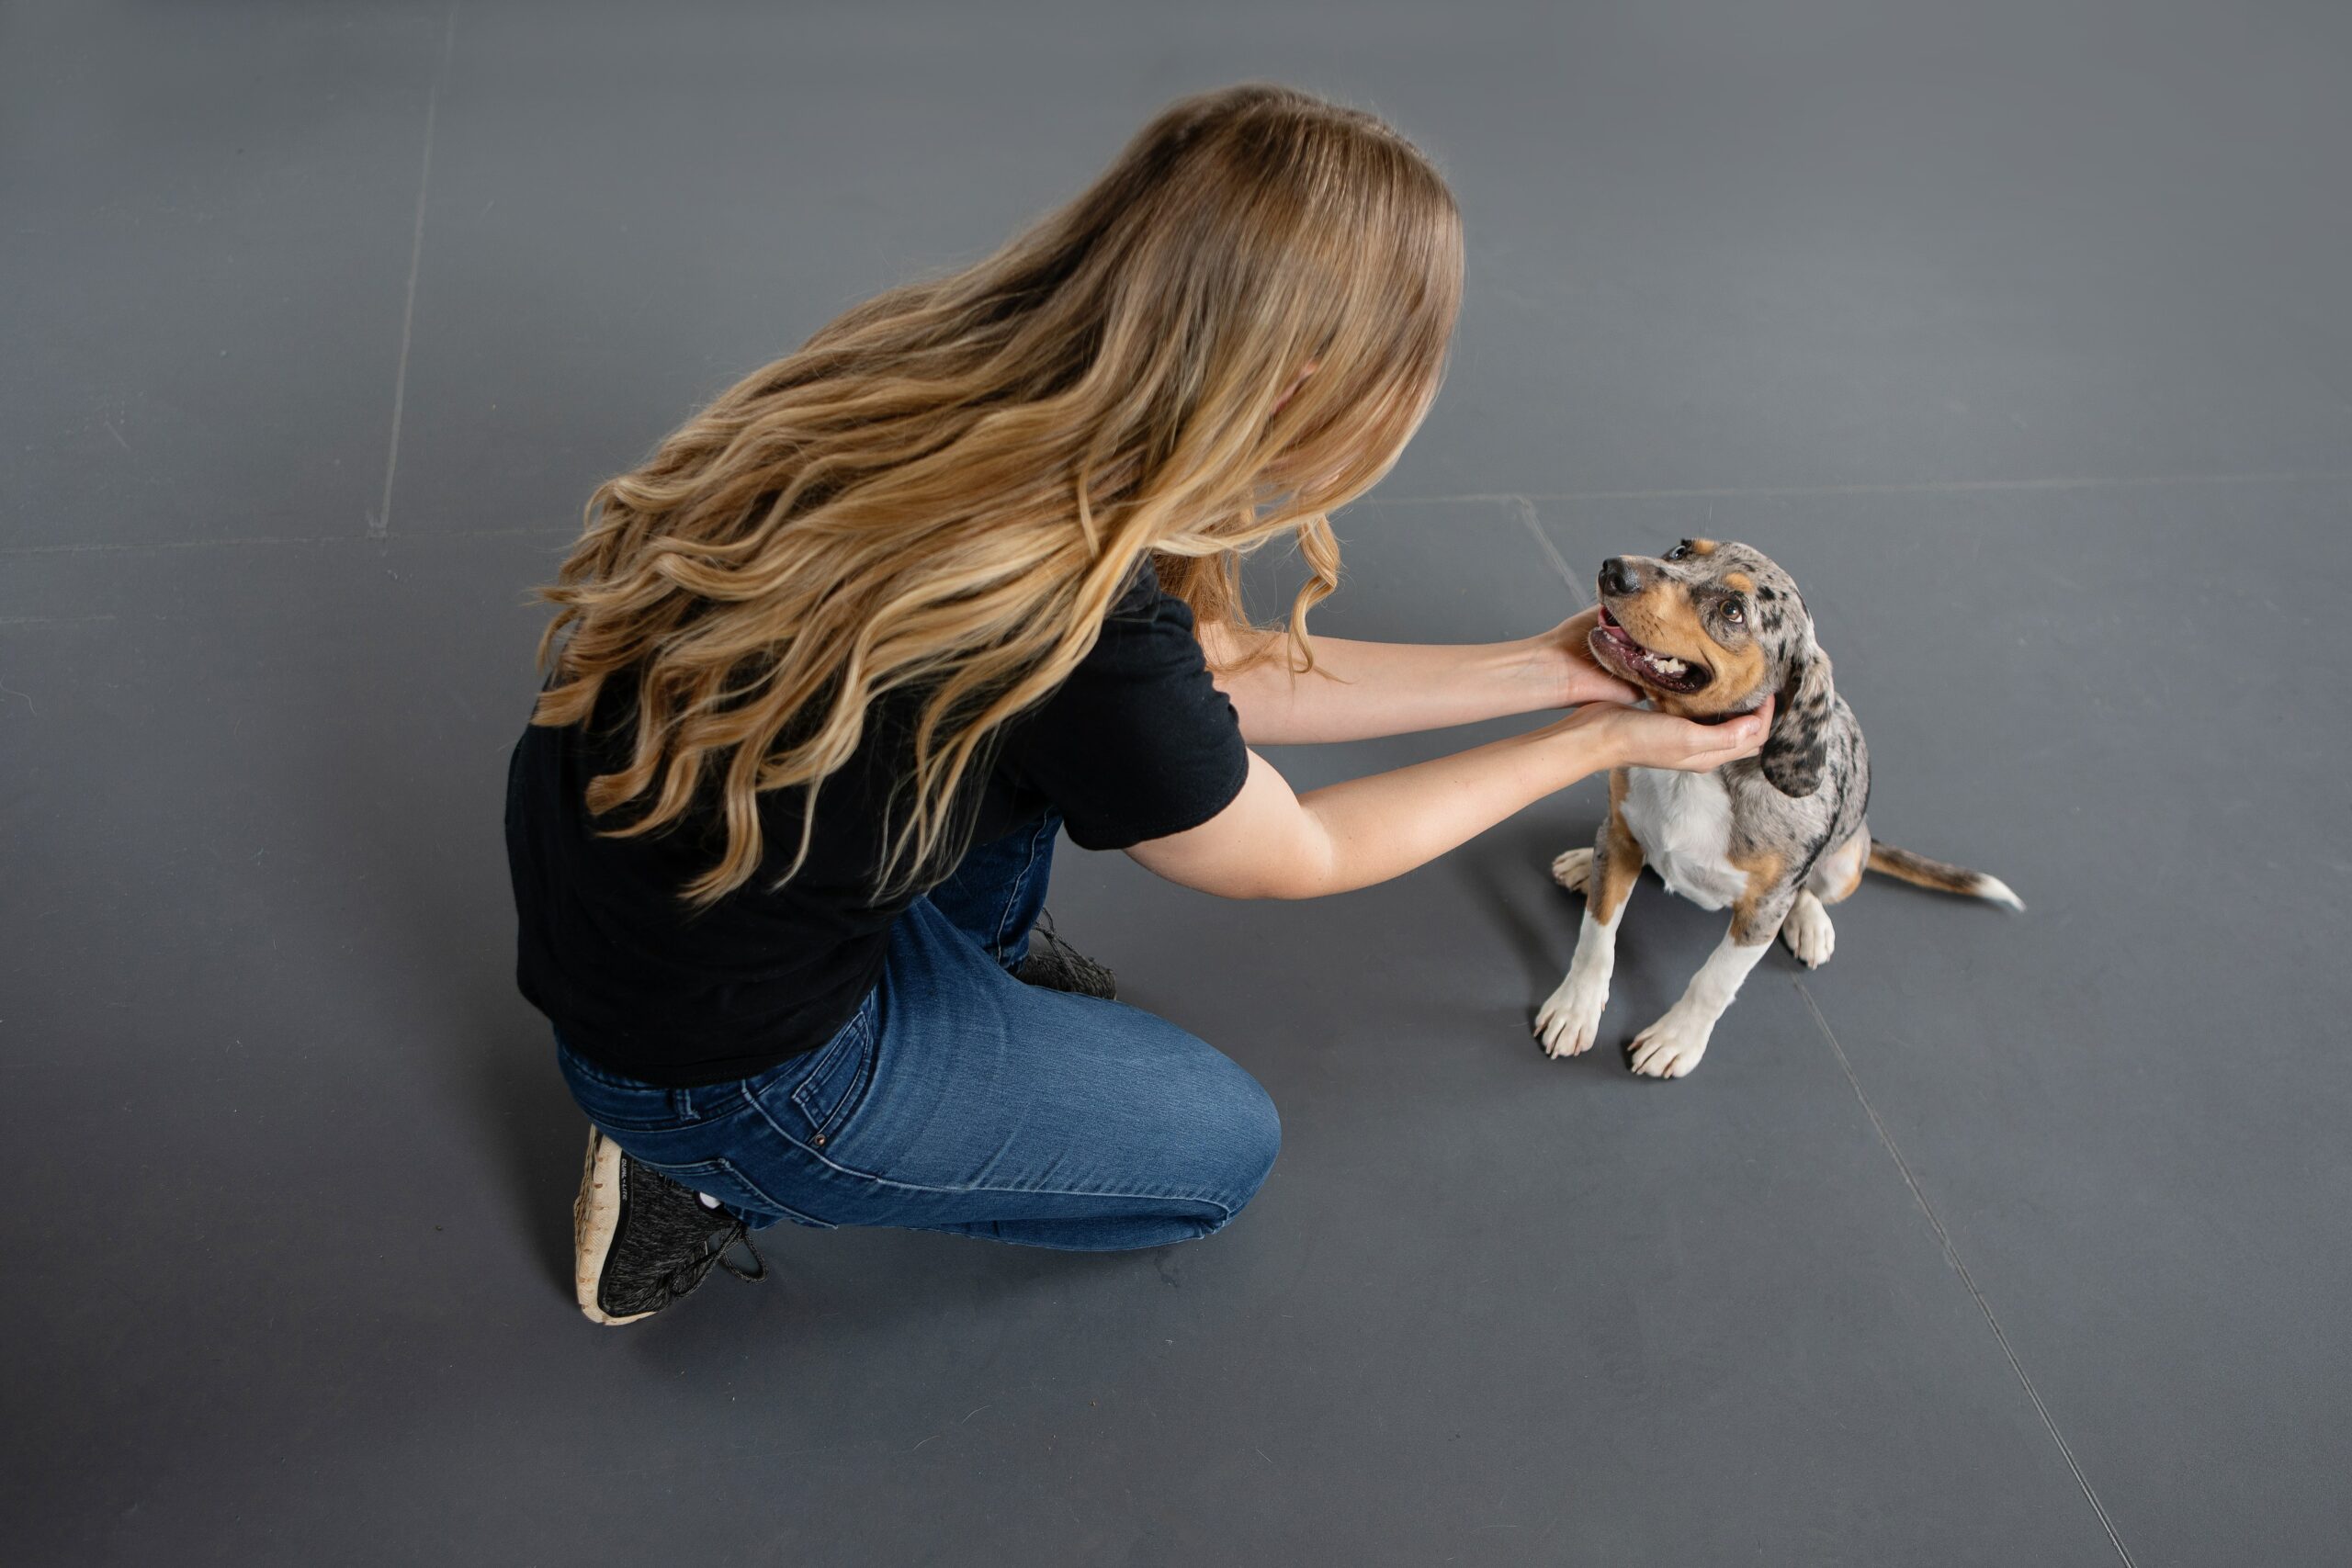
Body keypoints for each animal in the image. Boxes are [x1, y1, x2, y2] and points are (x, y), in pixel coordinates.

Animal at [1523, 543, 2022, 1081]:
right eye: (1680, 550)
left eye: (1732, 611)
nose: (1614, 570)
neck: (1700, 779)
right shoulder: (1620, 842)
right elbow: (1597, 938)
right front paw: (1576, 1008)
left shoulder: (1761, 911)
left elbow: (1715, 982)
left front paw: (1677, 1039)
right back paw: (1582, 862)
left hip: (1845, 864)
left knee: (1811, 890)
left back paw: (1810, 923)